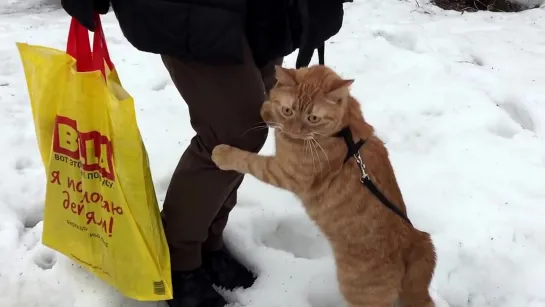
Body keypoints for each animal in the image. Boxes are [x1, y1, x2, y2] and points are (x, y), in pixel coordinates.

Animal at [210, 64, 436, 307]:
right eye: (288, 111)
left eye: (313, 117)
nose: (294, 131)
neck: (341, 128)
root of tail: (416, 243)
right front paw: (269, 109)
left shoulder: (283, 172)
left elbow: (249, 161)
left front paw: (223, 154)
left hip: (359, 293)